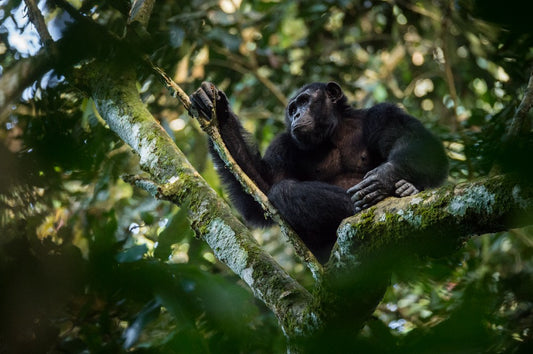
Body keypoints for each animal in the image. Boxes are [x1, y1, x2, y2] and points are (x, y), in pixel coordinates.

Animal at [189, 81, 446, 262]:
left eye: (304, 101)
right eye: (292, 108)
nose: (296, 115)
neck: (333, 132)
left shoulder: (383, 113)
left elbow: (413, 139)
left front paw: (384, 177)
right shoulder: (282, 145)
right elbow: (263, 188)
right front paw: (216, 110)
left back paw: (403, 189)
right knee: (284, 190)